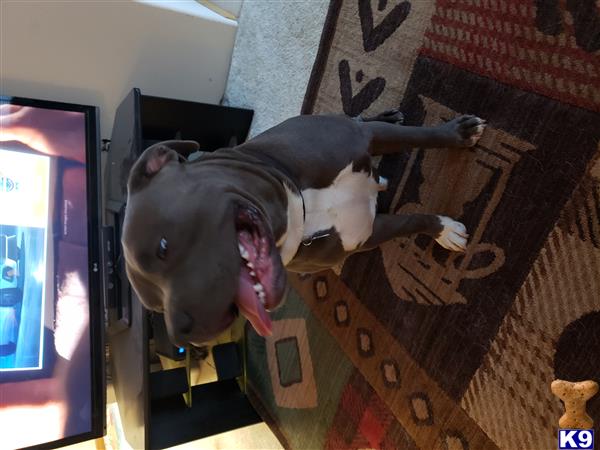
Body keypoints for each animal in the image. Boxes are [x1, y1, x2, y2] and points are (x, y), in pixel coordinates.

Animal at [122, 110, 482, 348]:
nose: (183, 332)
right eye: (155, 308)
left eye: (163, 247)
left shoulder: (364, 138)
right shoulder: (367, 233)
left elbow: (423, 137)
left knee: (366, 121)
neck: (305, 212)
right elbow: (409, 222)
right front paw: (444, 231)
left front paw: (459, 135)